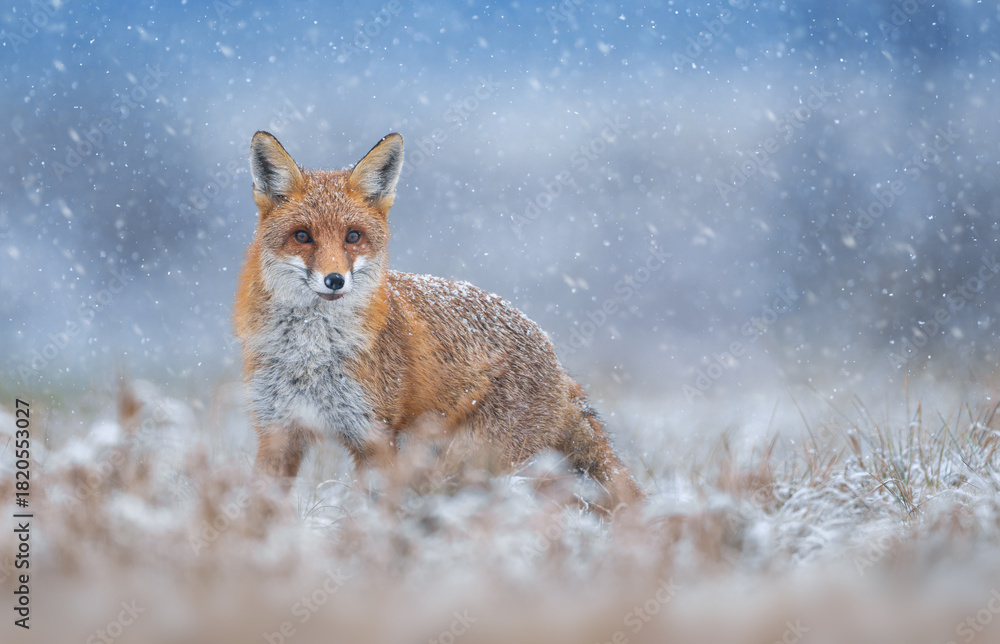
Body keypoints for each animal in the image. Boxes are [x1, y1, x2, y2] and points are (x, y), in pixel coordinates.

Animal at [234, 131, 644, 510]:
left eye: (353, 236)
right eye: (302, 236)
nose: (335, 280)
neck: (310, 353)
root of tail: (552, 353)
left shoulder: (374, 436)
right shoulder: (278, 431)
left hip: (471, 464)